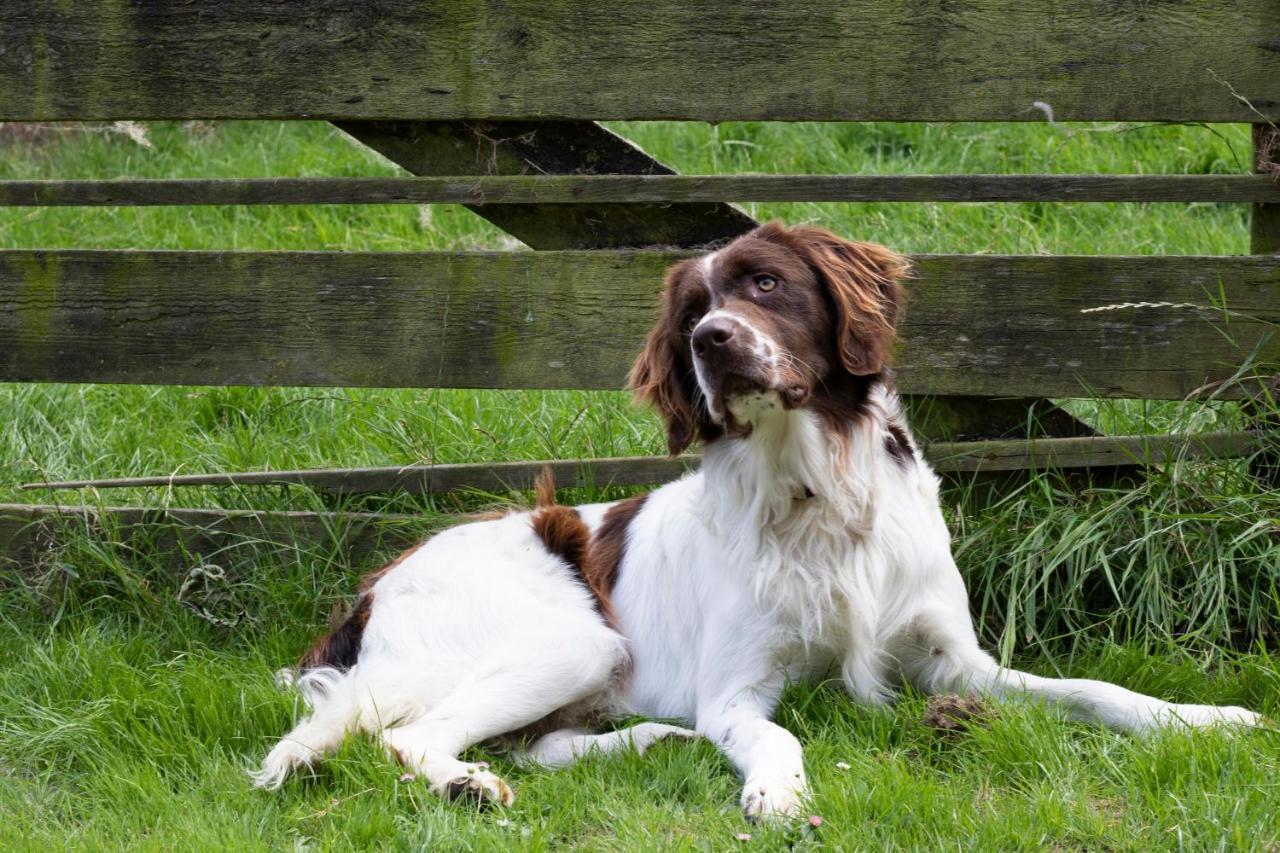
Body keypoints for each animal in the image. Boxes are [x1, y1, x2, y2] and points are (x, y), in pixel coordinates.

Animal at [252, 219, 1259, 819]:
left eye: (767, 285)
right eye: (694, 310)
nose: (713, 340)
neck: (821, 495)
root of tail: (370, 593)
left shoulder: (955, 663)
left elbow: (1098, 690)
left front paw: (1201, 716)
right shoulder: (740, 687)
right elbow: (776, 730)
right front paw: (778, 788)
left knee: (538, 742)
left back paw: (652, 738)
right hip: (575, 638)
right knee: (411, 736)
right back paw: (470, 782)